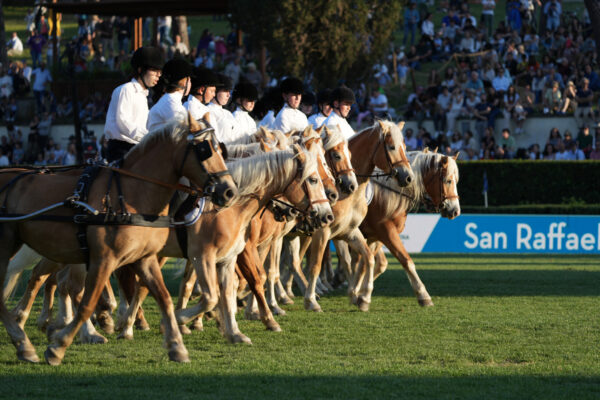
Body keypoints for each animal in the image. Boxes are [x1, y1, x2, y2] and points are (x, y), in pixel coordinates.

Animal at [0, 114, 238, 364]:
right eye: (204, 149)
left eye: (219, 147)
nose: (229, 191)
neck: (133, 195)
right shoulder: (104, 259)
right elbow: (87, 303)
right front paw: (59, 346)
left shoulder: (146, 257)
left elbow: (164, 297)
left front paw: (176, 345)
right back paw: (32, 335)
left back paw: (27, 338)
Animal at [302, 120, 414, 314]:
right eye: (392, 147)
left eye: (404, 147)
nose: (407, 177)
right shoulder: (324, 232)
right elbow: (317, 264)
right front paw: (311, 301)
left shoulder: (350, 232)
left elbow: (363, 259)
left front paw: (358, 296)